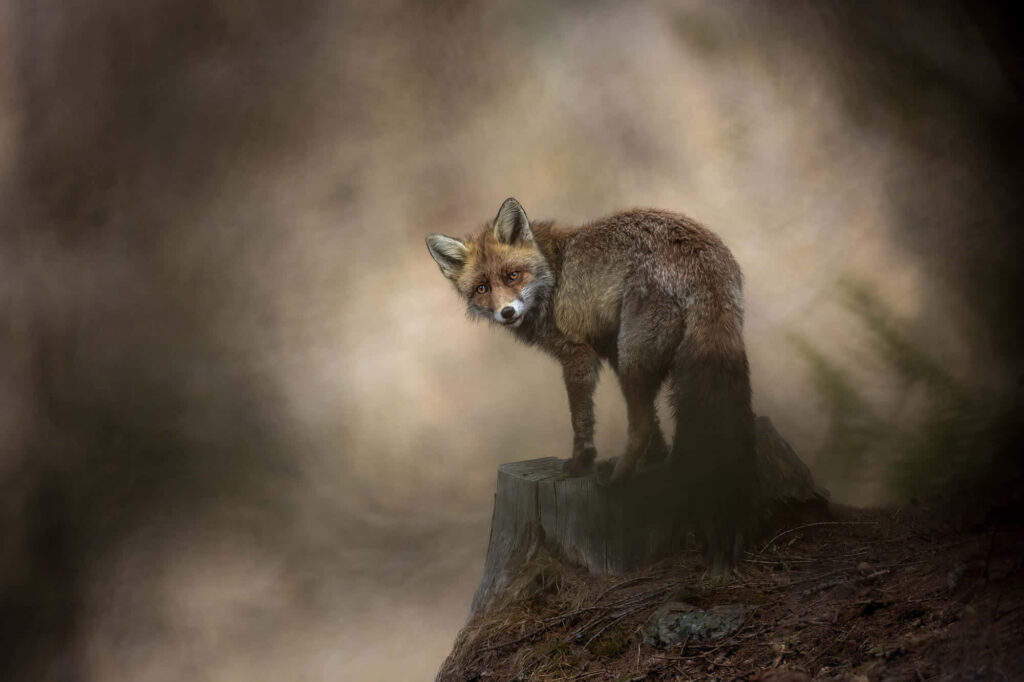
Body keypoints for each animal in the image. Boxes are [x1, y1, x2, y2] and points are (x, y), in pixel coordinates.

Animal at [425, 198, 758, 568]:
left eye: (513, 275)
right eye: (482, 288)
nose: (507, 312)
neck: (553, 275)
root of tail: (701, 256)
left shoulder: (578, 354)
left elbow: (581, 418)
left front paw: (581, 462)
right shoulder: (608, 346)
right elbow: (656, 424)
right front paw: (657, 456)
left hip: (633, 357)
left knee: (640, 424)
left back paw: (615, 481)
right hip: (652, 356)